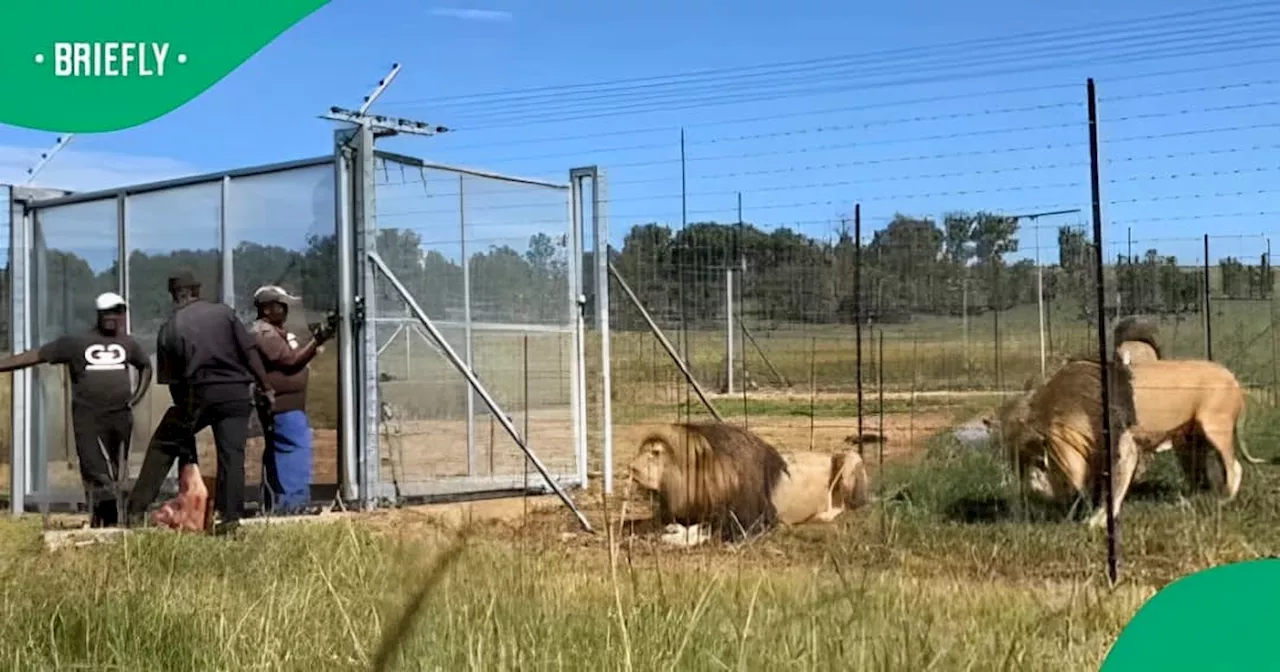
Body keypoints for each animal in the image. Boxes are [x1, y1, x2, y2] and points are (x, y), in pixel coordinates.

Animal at [627, 422, 870, 547]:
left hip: (849, 457)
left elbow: (705, 529)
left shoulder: (754, 522)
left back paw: (822, 516)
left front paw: (675, 536)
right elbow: (642, 524)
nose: (631, 468)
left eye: (656, 453)